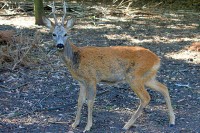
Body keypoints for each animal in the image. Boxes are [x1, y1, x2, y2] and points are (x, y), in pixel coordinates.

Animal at [42, 1, 175, 132]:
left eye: (66, 34)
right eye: (53, 34)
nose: (60, 45)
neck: (76, 58)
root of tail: (157, 60)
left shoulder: (91, 78)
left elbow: (90, 101)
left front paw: (88, 126)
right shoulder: (81, 81)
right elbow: (79, 101)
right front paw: (75, 124)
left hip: (134, 76)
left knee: (146, 97)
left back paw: (127, 125)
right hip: (147, 77)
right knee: (164, 88)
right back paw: (172, 121)